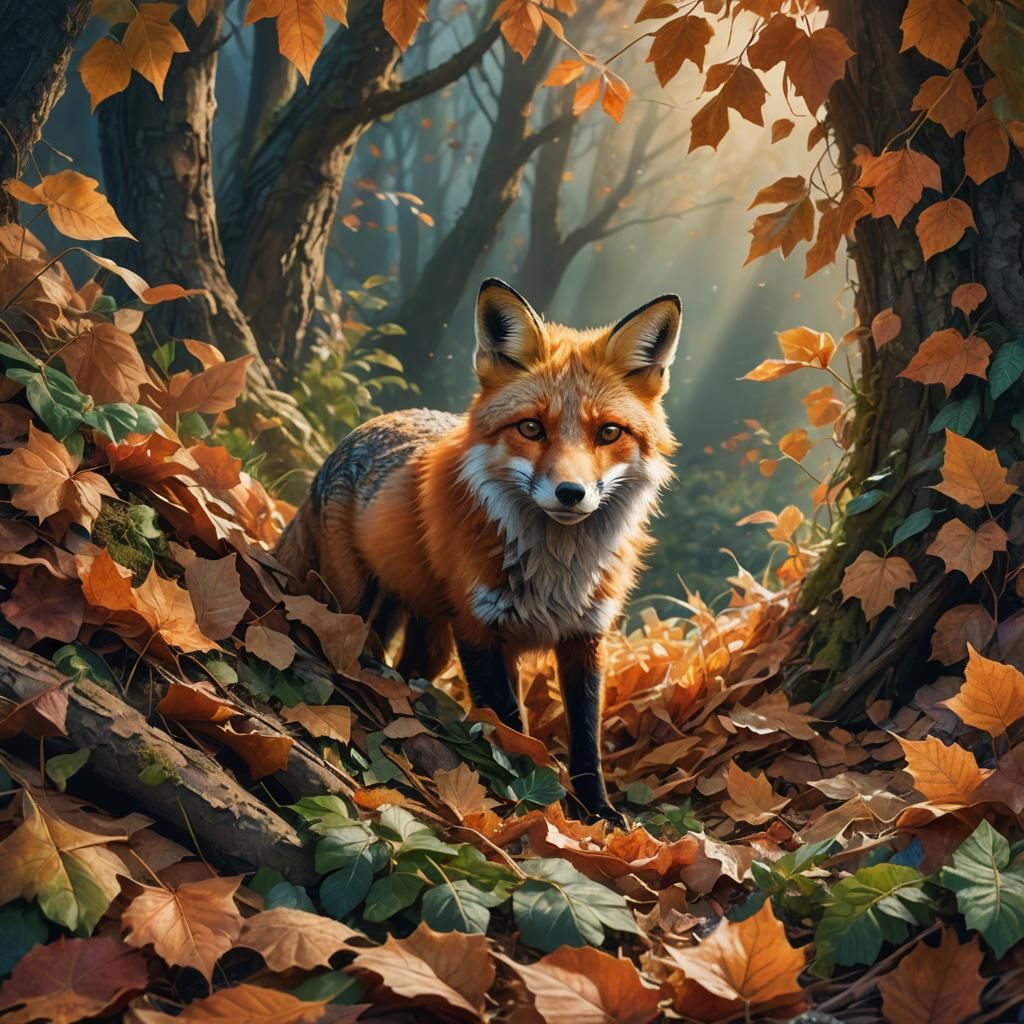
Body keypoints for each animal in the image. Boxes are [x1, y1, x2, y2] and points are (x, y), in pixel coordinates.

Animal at [276, 278, 680, 825]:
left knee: (406, 663)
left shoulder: (585, 637)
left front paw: (597, 810)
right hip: (352, 599)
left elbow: (585, 739)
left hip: (431, 641)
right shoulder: (479, 630)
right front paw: (532, 798)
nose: (571, 493)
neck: (555, 573)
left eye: (609, 432)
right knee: (335, 637)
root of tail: (370, 424)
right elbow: (512, 727)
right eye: (531, 428)